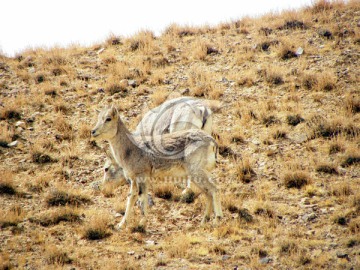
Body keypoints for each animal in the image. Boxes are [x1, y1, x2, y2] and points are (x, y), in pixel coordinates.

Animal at [91, 106, 224, 229]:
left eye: (108, 119)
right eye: (98, 117)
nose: (93, 131)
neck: (130, 149)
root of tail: (212, 142)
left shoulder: (142, 176)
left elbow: (142, 197)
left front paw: (141, 223)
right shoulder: (134, 180)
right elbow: (131, 198)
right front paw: (121, 225)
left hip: (197, 172)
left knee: (214, 189)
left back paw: (217, 219)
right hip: (197, 175)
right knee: (208, 193)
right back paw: (204, 220)